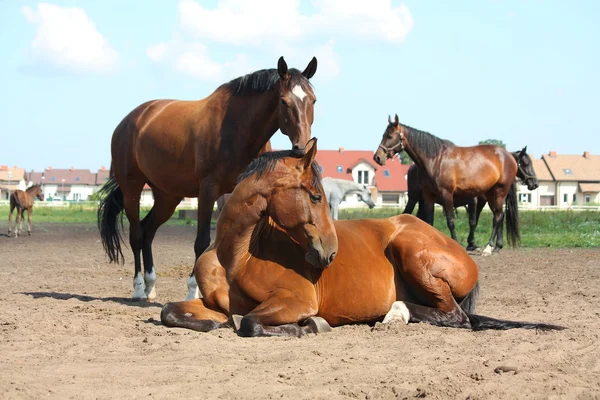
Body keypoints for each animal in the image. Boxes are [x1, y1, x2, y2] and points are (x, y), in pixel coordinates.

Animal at [98, 56, 318, 300]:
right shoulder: (208, 190)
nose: (301, 147)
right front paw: (193, 291)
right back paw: (138, 289)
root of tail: (131, 120)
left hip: (167, 197)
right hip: (132, 188)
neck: (237, 128)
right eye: (283, 101)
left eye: (313, 100)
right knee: (136, 234)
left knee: (148, 231)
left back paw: (150, 286)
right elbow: (202, 242)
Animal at [404, 148, 540, 252]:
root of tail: (413, 167)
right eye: (526, 163)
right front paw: (472, 244)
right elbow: (473, 221)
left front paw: (489, 245)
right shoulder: (474, 201)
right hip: (413, 199)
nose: (535, 183)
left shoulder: (484, 201)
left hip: (423, 201)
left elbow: (494, 218)